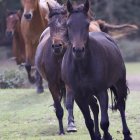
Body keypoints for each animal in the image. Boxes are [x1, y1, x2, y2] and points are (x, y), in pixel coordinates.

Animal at [34, 2, 77, 135]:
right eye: (50, 24)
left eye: (66, 24)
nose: (57, 46)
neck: (59, 59)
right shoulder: (52, 84)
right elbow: (58, 107)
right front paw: (61, 130)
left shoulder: (69, 83)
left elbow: (69, 104)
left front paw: (71, 125)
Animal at [61, 0, 132, 139]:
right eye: (68, 24)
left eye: (87, 24)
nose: (78, 50)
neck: (82, 68)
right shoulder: (79, 96)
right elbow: (89, 122)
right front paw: (97, 135)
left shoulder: (101, 92)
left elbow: (104, 122)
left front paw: (107, 136)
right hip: (88, 94)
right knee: (94, 107)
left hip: (119, 83)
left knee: (121, 105)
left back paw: (126, 134)